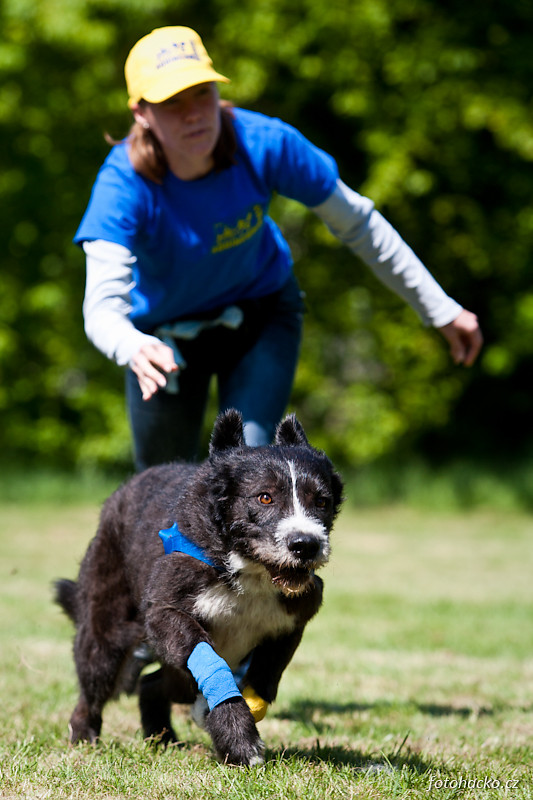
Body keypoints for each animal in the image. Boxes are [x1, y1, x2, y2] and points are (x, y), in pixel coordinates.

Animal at [56, 410, 342, 764]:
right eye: (265, 496)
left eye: (322, 501)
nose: (306, 544)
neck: (249, 572)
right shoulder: (167, 612)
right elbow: (211, 663)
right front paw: (238, 740)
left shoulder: (291, 621)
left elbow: (264, 677)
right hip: (106, 629)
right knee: (94, 686)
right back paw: (84, 737)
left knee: (151, 684)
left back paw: (162, 737)